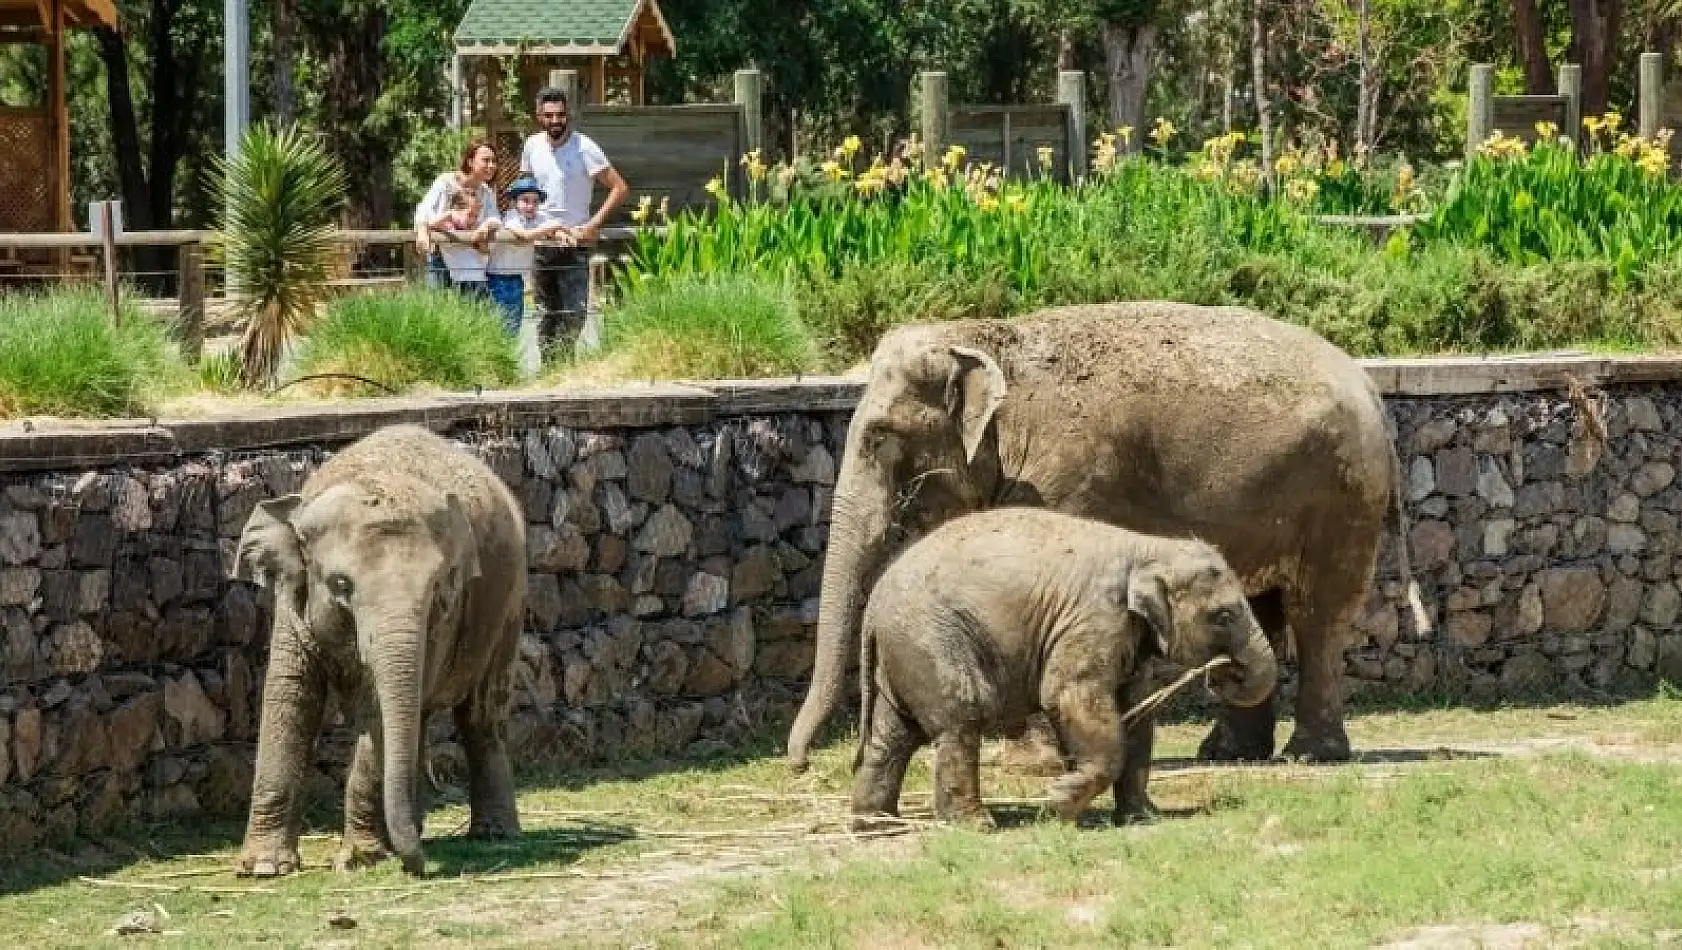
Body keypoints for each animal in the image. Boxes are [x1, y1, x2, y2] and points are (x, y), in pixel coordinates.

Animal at [227, 425, 521, 881]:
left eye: (439, 588)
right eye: (340, 585)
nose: (419, 868)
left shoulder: (441, 622)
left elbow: (376, 709)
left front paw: (360, 859)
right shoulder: (291, 603)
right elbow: (290, 695)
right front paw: (263, 868)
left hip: (509, 606)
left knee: (481, 714)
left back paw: (492, 835)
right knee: (421, 715)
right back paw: (416, 828)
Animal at [787, 302, 1433, 770]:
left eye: (878, 439)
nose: (802, 764)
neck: (984, 341)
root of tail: (1372, 389)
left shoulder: (1069, 475)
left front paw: (1037, 764)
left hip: (1341, 494)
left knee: (1316, 611)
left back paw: (1309, 756)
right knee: (1262, 608)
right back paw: (1230, 753)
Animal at [854, 507, 1271, 827]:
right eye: (1224, 616)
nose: (1225, 673)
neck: (1149, 546)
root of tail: (873, 607)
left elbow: (1135, 711)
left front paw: (1143, 818)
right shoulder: (1094, 618)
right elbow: (1069, 695)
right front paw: (1058, 803)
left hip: (904, 654)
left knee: (892, 735)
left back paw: (876, 823)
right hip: (931, 640)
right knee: (961, 718)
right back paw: (976, 825)